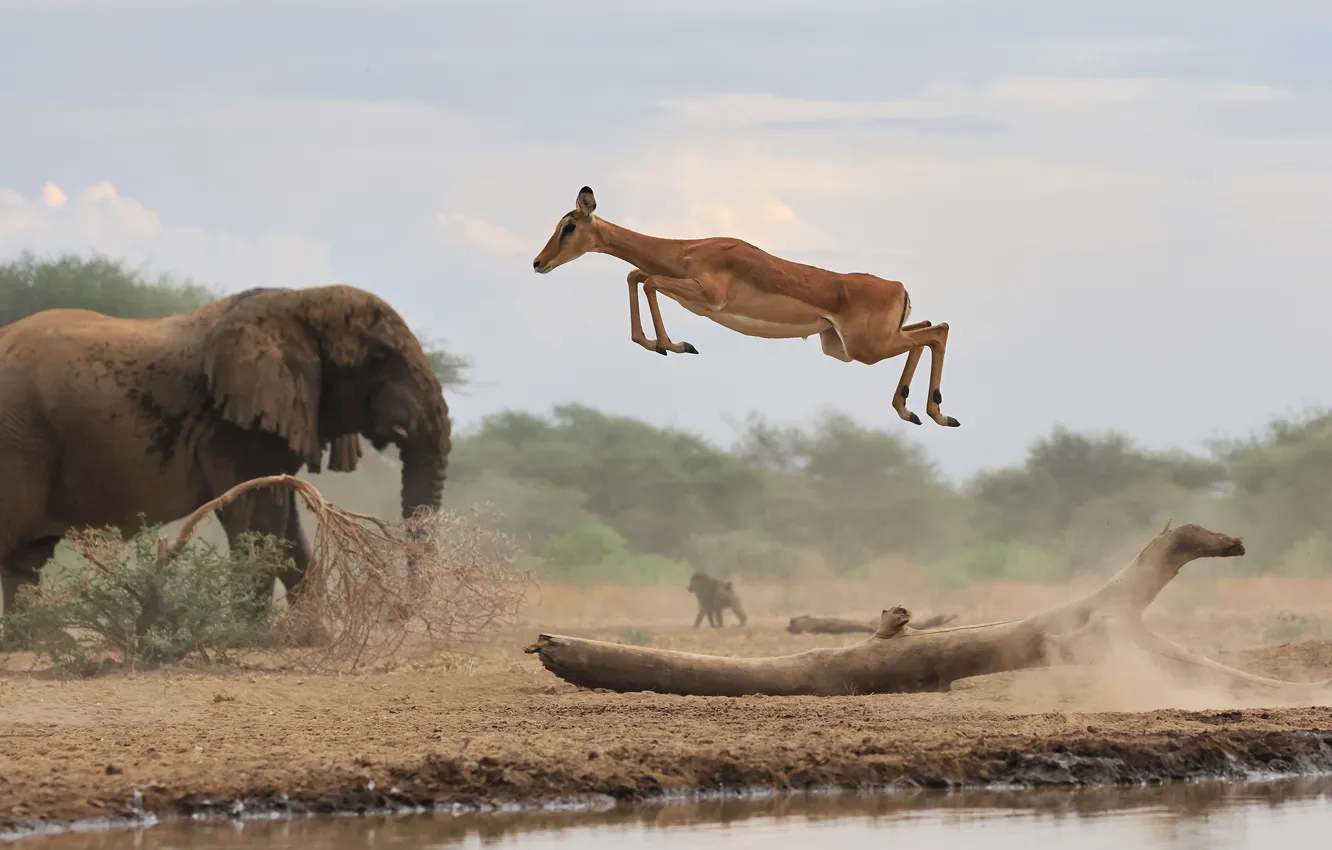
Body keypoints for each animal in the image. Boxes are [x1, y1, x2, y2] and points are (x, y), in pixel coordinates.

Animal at [0, 284, 451, 623]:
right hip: (20, 440)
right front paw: (248, 637)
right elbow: (260, 524)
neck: (299, 299)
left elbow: (285, 528)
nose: (394, 614)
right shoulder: (235, 426)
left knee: (26, 559)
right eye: (380, 359)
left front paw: (309, 639)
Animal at [532, 186, 960, 427]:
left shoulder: (708, 296)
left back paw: (936, 414)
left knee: (937, 332)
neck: (688, 250)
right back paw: (916, 412)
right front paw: (661, 344)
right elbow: (636, 275)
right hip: (843, 346)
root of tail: (899, 287)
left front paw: (673, 345)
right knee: (930, 329)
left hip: (865, 348)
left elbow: (646, 279)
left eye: (569, 226)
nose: (538, 262)